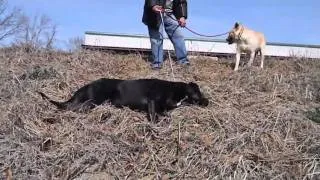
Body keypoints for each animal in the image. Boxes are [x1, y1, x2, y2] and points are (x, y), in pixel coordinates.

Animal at [37, 78, 209, 121]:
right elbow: (155, 117)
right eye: (198, 93)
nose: (207, 102)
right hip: (90, 103)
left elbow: (165, 114)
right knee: (68, 108)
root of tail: (89, 85)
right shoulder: (152, 101)